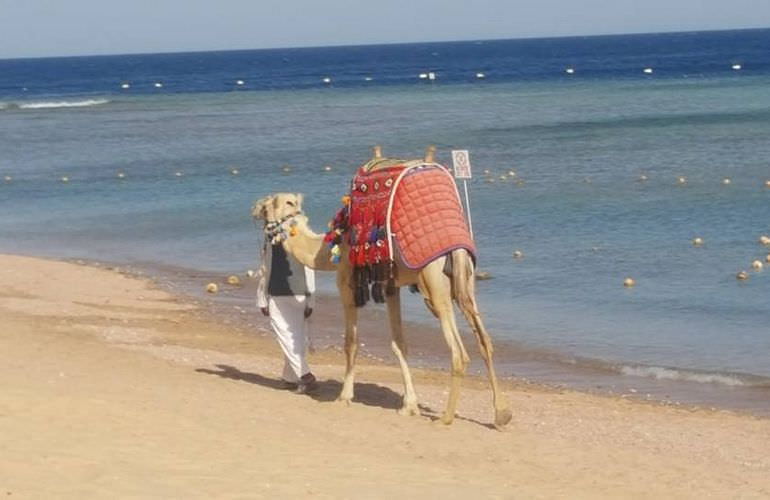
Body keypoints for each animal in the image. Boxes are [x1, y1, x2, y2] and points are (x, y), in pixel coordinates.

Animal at [252, 146, 512, 428]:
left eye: (267, 205)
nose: (253, 209)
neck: (330, 245)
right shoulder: (390, 286)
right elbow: (399, 343)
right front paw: (409, 406)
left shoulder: (347, 282)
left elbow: (351, 342)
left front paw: (344, 396)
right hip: (464, 281)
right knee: (484, 340)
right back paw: (501, 414)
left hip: (434, 282)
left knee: (459, 352)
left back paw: (445, 417)